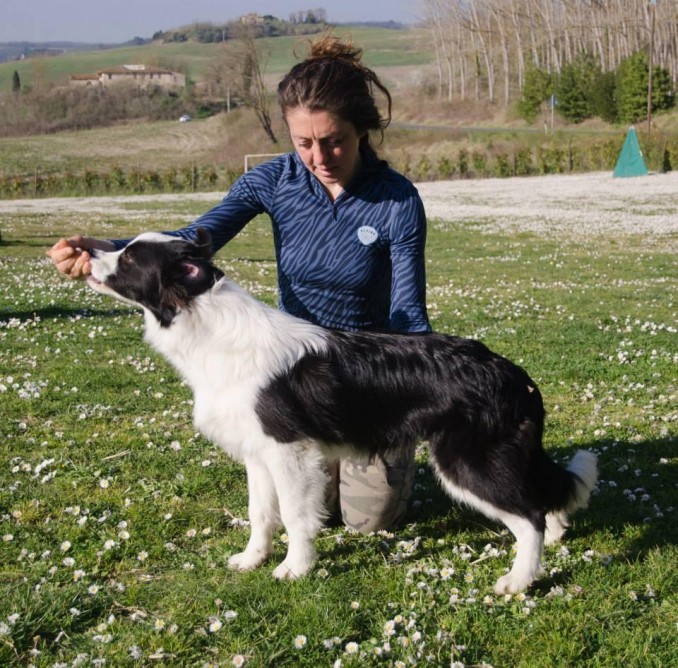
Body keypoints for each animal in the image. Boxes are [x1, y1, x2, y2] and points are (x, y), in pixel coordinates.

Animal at [86, 231, 600, 596]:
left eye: (129, 258)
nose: (88, 253)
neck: (205, 324)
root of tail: (512, 372)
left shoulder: (290, 451)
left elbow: (295, 515)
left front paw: (294, 568)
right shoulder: (258, 453)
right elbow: (260, 513)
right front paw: (252, 559)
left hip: (466, 462)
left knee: (529, 515)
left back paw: (520, 579)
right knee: (540, 498)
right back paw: (555, 537)